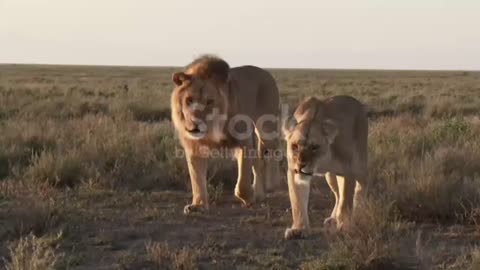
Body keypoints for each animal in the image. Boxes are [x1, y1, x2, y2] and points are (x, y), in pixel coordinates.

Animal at [171, 55, 282, 215]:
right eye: (189, 100)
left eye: (209, 102)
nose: (195, 125)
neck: (213, 127)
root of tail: (266, 73)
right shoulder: (194, 146)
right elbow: (197, 178)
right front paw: (198, 205)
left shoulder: (244, 141)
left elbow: (242, 184)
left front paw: (248, 197)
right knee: (258, 162)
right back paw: (260, 194)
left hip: (266, 129)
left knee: (274, 151)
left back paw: (272, 184)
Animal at [282, 96, 368, 239]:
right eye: (295, 146)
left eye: (314, 147)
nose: (300, 165)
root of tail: (358, 103)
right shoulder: (293, 172)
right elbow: (297, 202)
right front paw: (298, 229)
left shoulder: (347, 170)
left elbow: (346, 200)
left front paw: (344, 227)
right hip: (330, 175)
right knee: (337, 195)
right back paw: (333, 219)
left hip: (359, 163)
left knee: (362, 186)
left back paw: (361, 213)